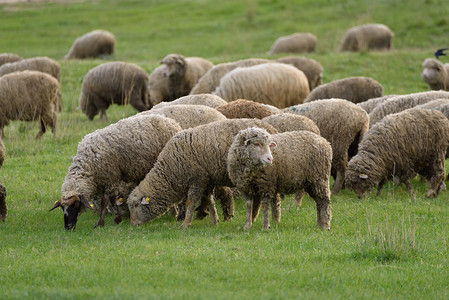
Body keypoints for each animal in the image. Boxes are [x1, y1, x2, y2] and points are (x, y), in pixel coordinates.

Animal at [49, 115, 182, 230]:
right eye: (62, 208)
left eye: (76, 205)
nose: (68, 227)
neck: (87, 165)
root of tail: (171, 121)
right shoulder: (107, 180)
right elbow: (113, 200)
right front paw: (117, 219)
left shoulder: (110, 178)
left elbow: (105, 202)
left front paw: (100, 223)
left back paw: (175, 213)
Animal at [126, 117, 278, 227]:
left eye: (136, 205)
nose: (133, 224)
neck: (172, 169)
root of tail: (273, 129)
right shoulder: (207, 181)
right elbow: (210, 200)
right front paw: (214, 221)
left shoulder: (197, 180)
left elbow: (191, 202)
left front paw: (186, 224)